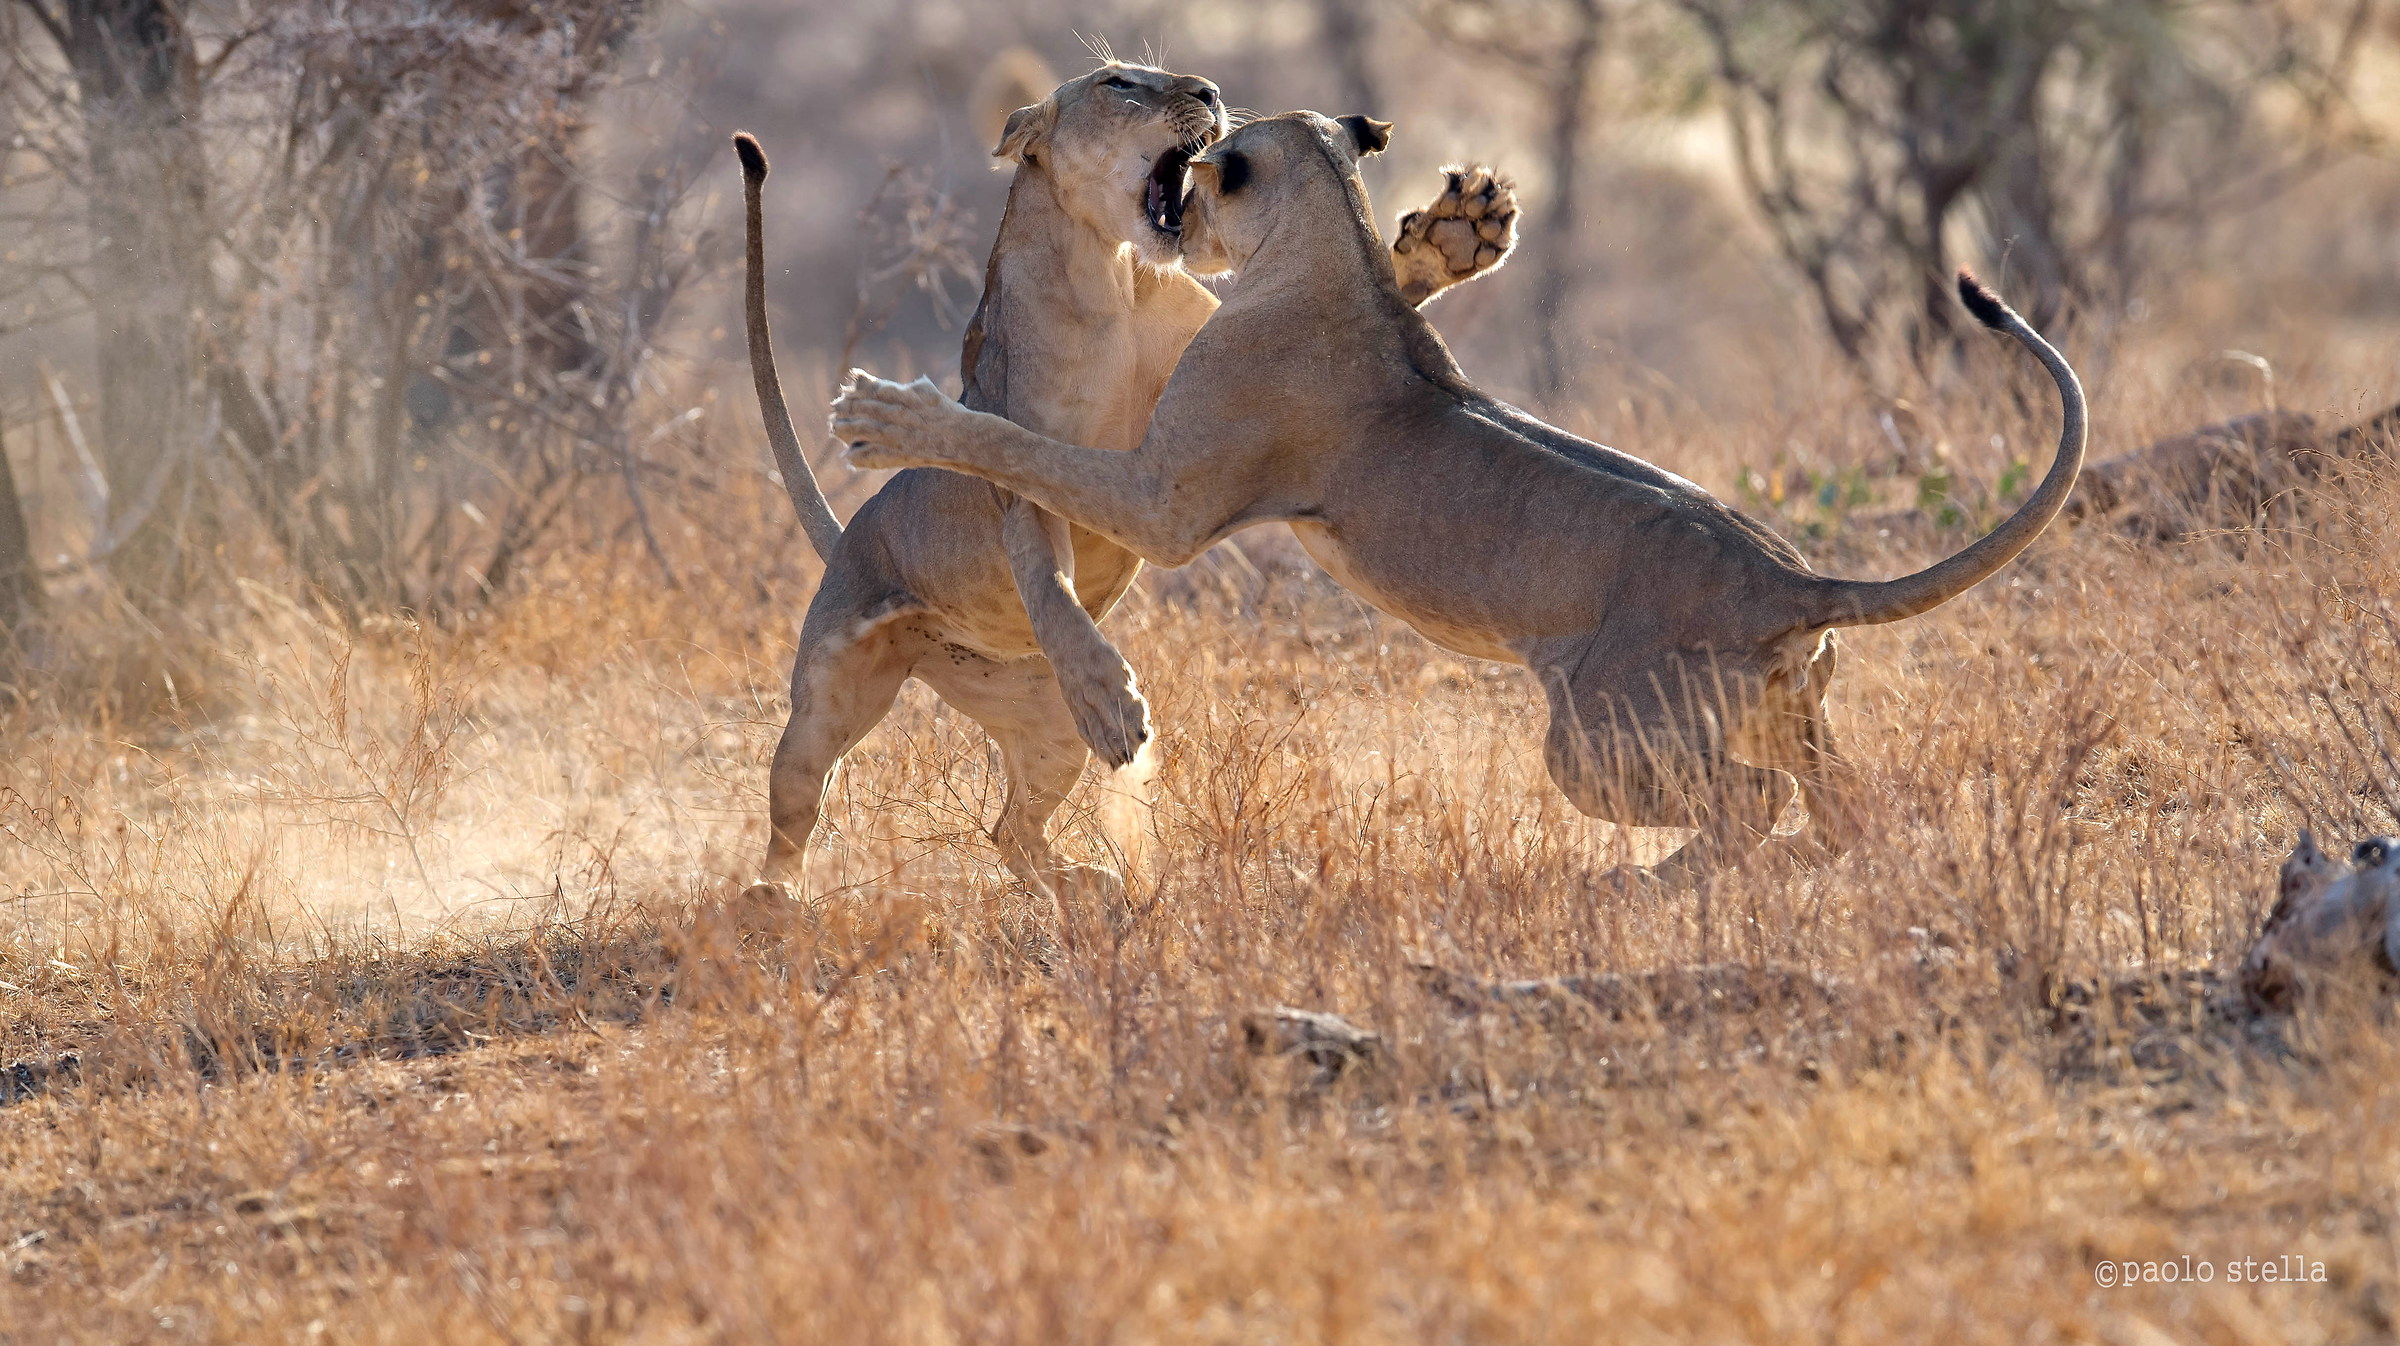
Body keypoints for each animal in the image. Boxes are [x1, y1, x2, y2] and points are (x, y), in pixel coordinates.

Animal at [736, 71, 1518, 908]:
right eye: (1119, 83)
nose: (1209, 90)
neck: (1111, 285)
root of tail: (847, 546)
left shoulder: (1198, 394)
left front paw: (1459, 234)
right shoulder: (1039, 481)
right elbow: (1041, 561)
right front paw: (1108, 693)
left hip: (1043, 723)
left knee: (1010, 833)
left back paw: (1092, 886)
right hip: (827, 700)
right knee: (795, 811)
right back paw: (773, 900)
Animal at [830, 111, 2087, 887]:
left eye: (1199, 171)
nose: (1172, 202)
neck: (1326, 246)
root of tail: (1791, 575)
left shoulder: (1166, 499)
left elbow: (1021, 446)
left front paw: (890, 415)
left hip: (1598, 733)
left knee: (1750, 801)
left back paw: (1639, 887)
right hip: (1791, 709)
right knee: (1842, 809)